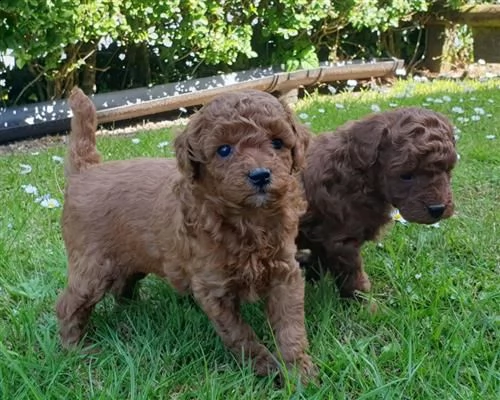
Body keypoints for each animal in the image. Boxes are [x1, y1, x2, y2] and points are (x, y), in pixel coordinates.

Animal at [56, 87, 314, 382]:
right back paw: (76, 350)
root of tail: (86, 170)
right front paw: (263, 365)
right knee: (68, 305)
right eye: (224, 150)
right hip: (93, 267)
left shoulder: (285, 272)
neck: (248, 219)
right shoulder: (212, 287)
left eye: (277, 142)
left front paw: (298, 371)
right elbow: (238, 333)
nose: (260, 175)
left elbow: (290, 325)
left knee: (122, 286)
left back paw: (135, 312)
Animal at [296, 106, 458, 296]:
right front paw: (364, 303)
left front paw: (312, 278)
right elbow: (353, 278)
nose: (438, 208)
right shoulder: (341, 241)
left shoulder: (322, 236)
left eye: (447, 169)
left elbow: (319, 260)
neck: (360, 176)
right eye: (405, 176)